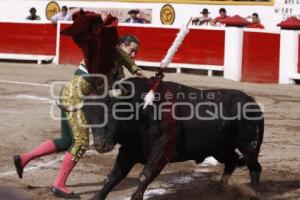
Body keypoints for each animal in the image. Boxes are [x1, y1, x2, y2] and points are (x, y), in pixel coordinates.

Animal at [83, 77, 264, 200]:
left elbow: (145, 174)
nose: (100, 145)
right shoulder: (128, 150)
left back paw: (253, 192)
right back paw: (221, 188)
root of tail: (252, 102)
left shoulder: (163, 149)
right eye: (89, 118)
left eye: (109, 113)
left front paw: (136, 197)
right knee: (232, 161)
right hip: (219, 148)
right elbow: (114, 176)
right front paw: (97, 196)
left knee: (254, 167)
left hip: (249, 145)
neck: (142, 110)